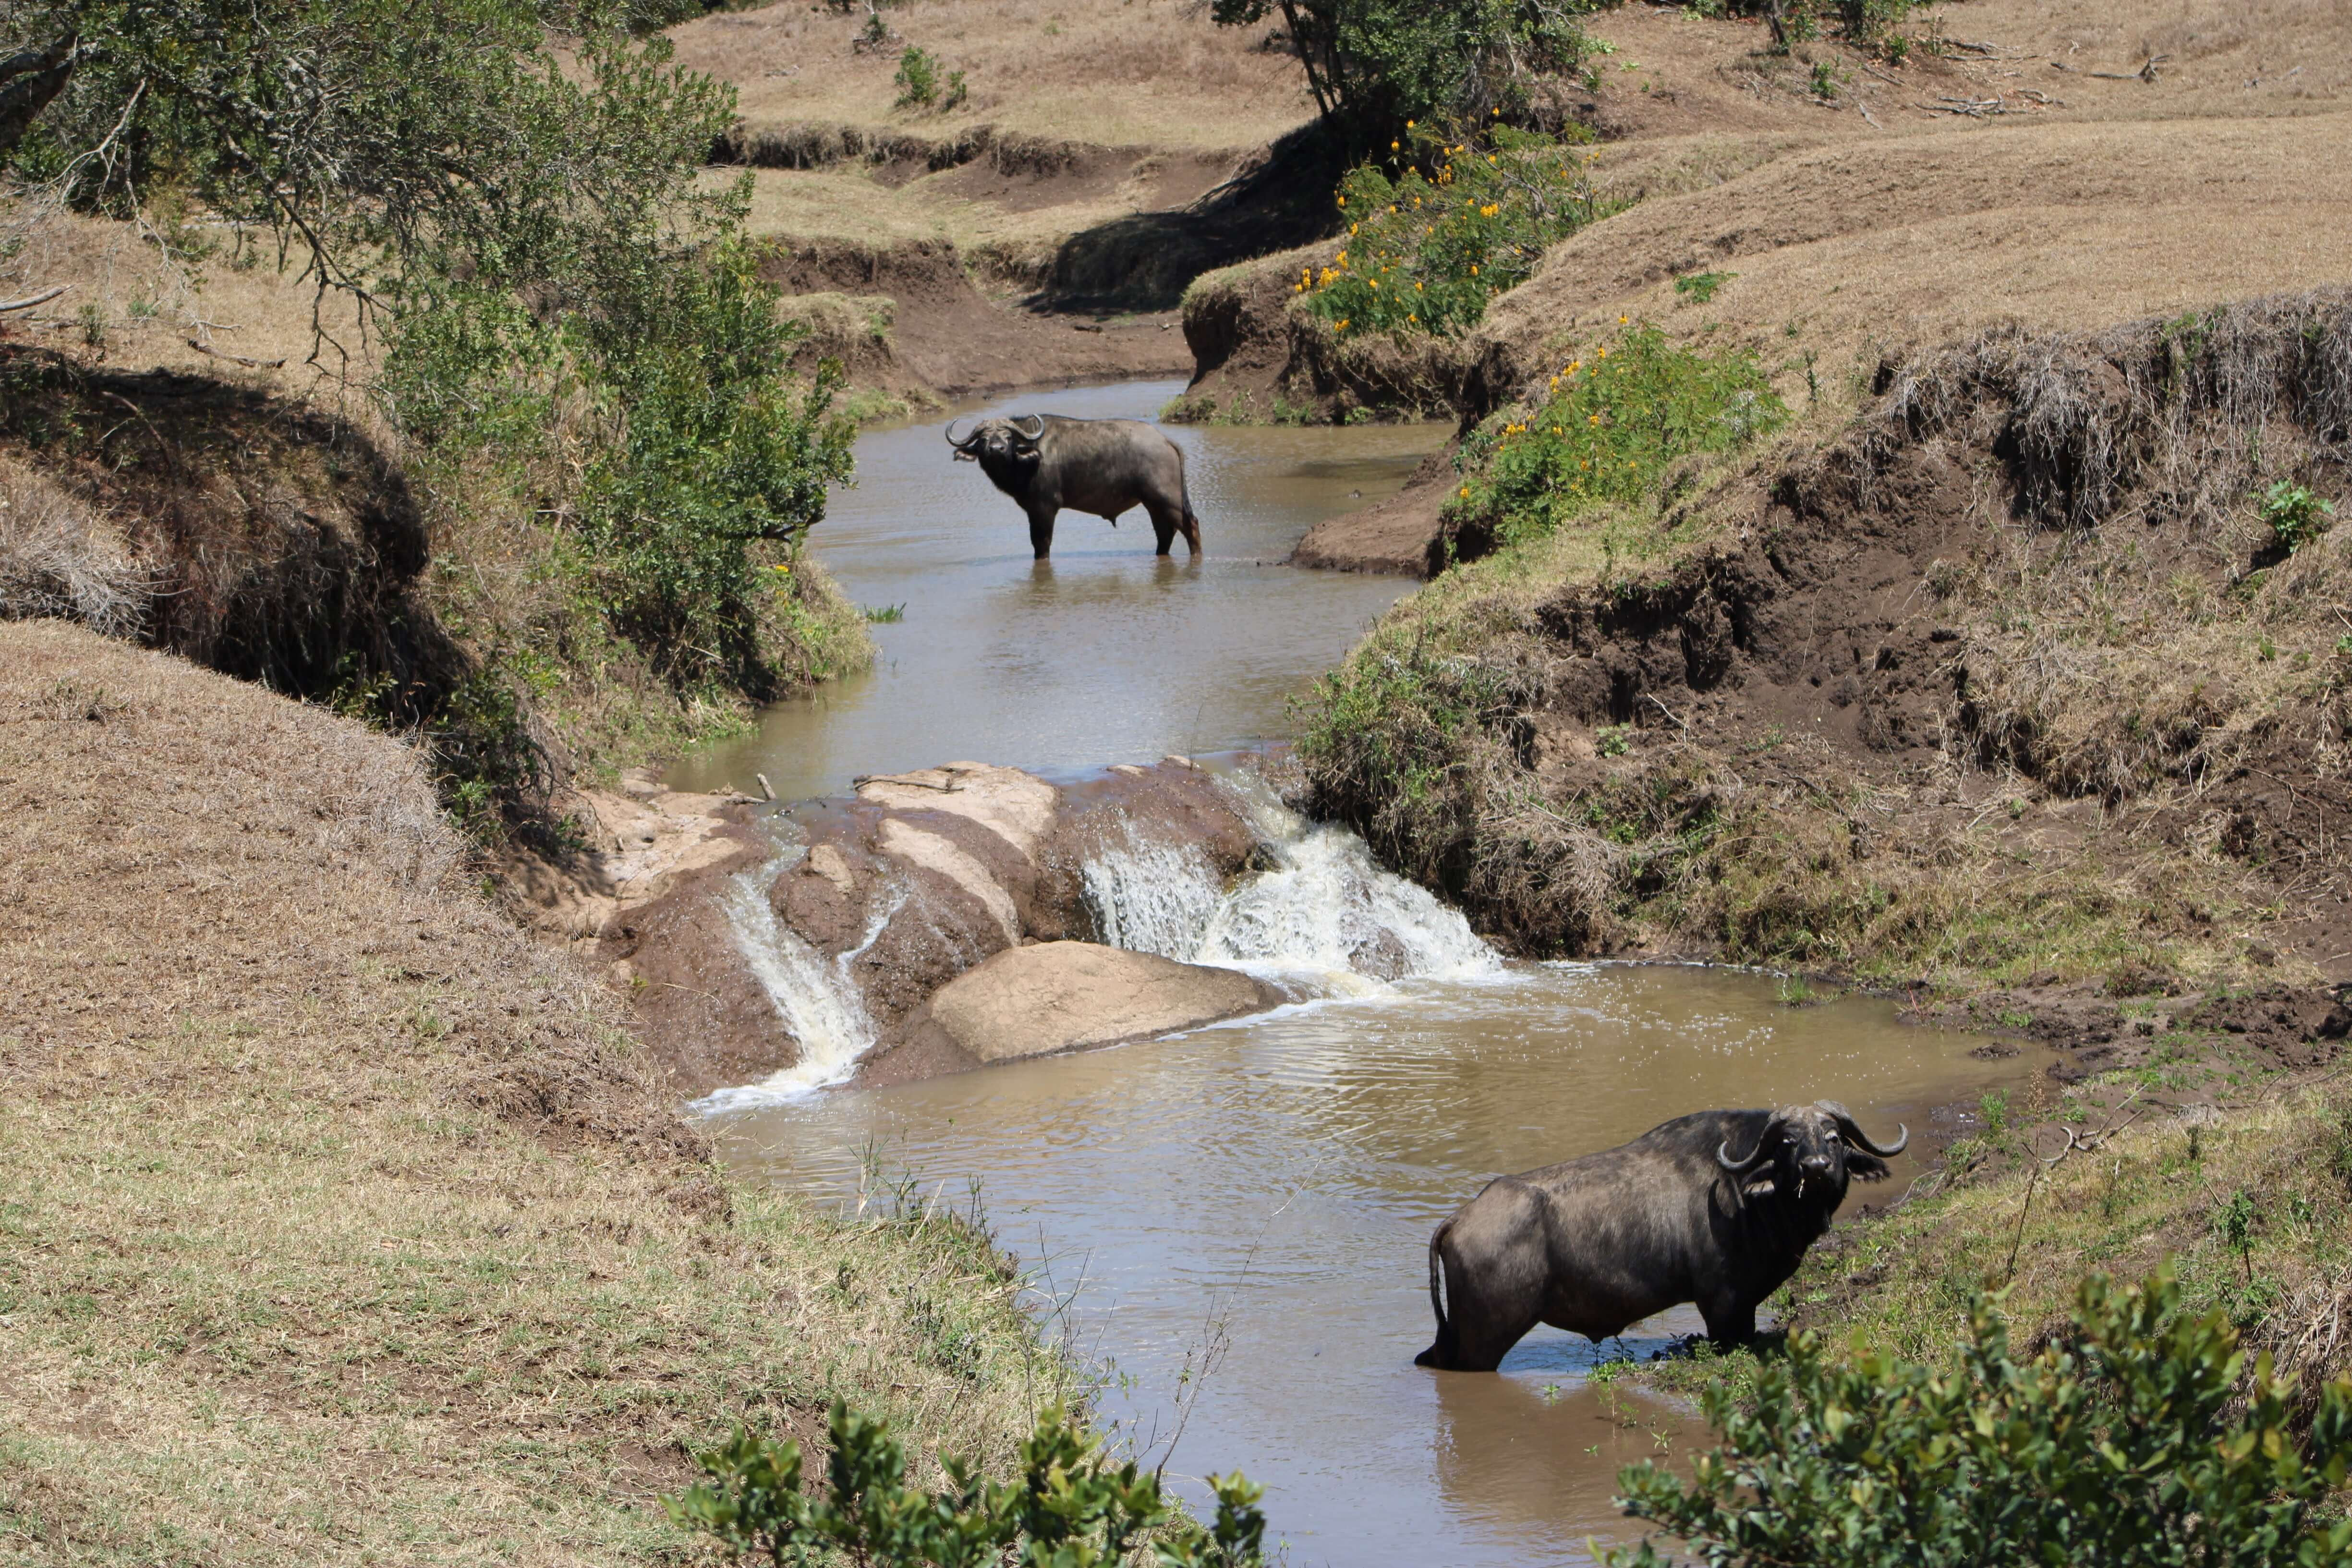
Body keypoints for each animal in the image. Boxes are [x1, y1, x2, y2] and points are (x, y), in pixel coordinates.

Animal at [945, 413, 1204, 561]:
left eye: (1008, 438)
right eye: (983, 439)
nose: (996, 450)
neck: (1028, 457)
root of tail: (1164, 440)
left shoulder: (1044, 508)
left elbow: (1041, 544)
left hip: (1168, 499)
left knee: (1190, 527)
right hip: (1152, 503)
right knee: (1165, 533)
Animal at [1411, 1105, 1910, 1373]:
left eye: (1832, 1136)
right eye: (1788, 1142)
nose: (1816, 1167)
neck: (1745, 1194)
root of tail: (1461, 1217)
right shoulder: (1723, 1304)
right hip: (1482, 1343)